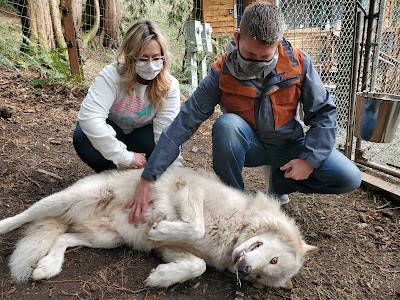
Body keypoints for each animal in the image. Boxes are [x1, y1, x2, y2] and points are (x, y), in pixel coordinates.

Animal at [0, 166, 318, 288]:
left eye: (262, 276)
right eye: (273, 260)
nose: (246, 270)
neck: (234, 232)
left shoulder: (172, 250)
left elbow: (198, 266)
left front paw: (162, 277)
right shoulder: (190, 190)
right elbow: (195, 226)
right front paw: (159, 228)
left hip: (107, 240)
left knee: (64, 237)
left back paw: (48, 266)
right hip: (64, 200)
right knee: (25, 215)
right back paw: (4, 226)